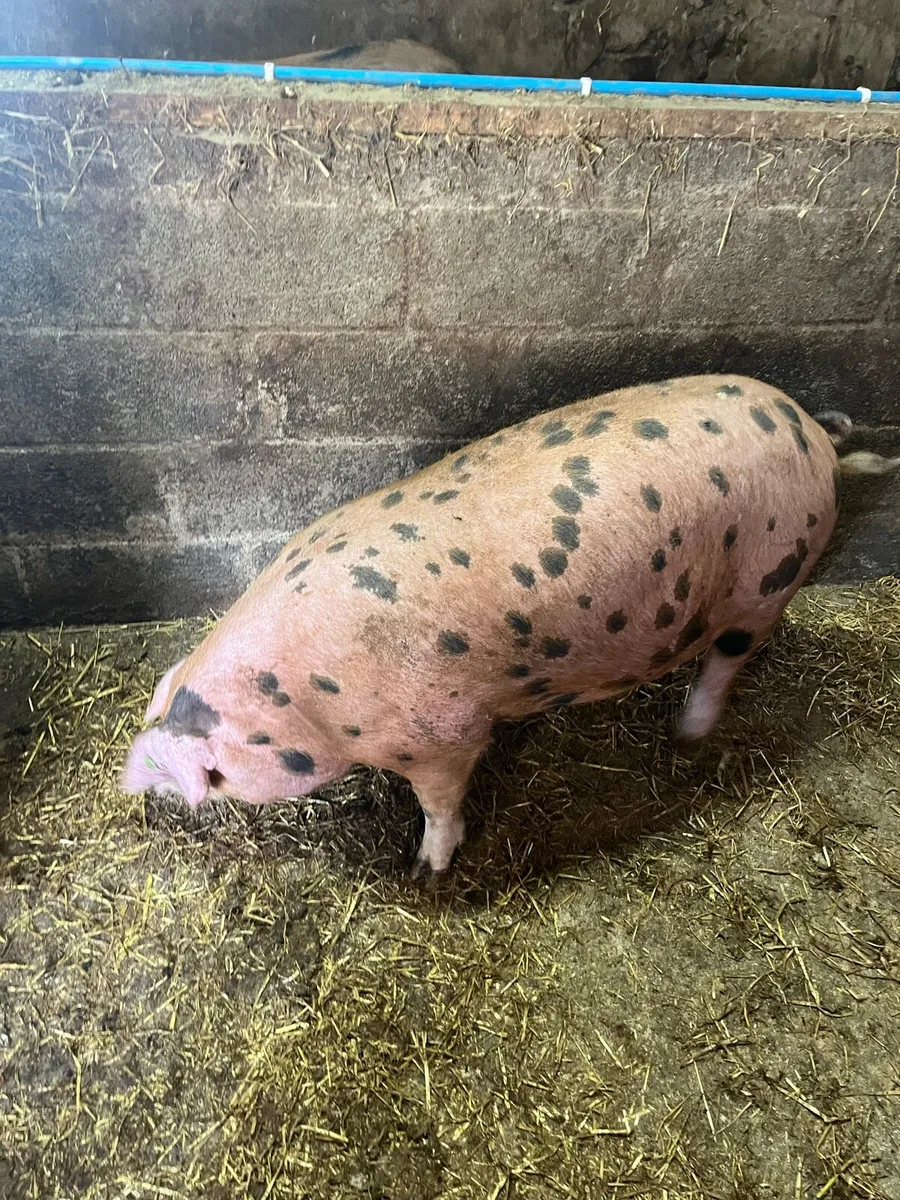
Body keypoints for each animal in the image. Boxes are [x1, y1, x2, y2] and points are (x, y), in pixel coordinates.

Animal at [120, 374, 898, 880]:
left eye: (214, 773)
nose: (135, 780)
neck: (310, 697)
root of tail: (813, 432)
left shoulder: (445, 733)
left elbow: (441, 803)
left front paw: (426, 871)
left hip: (768, 579)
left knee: (727, 660)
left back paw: (688, 732)